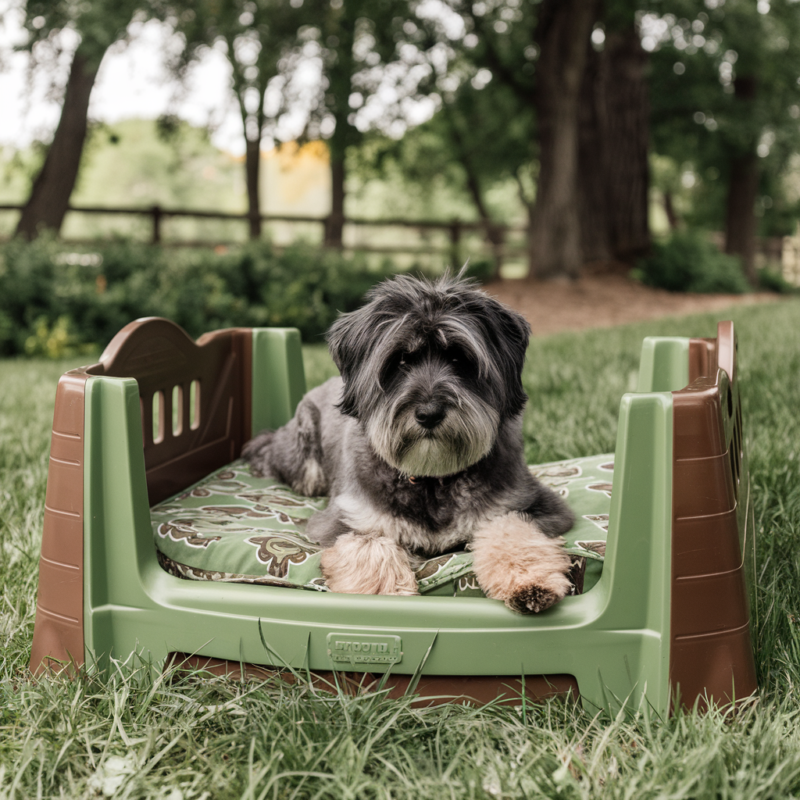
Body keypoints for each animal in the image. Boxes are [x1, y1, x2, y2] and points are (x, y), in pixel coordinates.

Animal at [244, 274, 576, 612]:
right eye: (400, 360)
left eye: (459, 358)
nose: (429, 414)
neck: (431, 481)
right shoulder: (346, 520)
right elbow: (372, 547)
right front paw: (385, 595)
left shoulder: (530, 506)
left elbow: (511, 530)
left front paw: (529, 582)